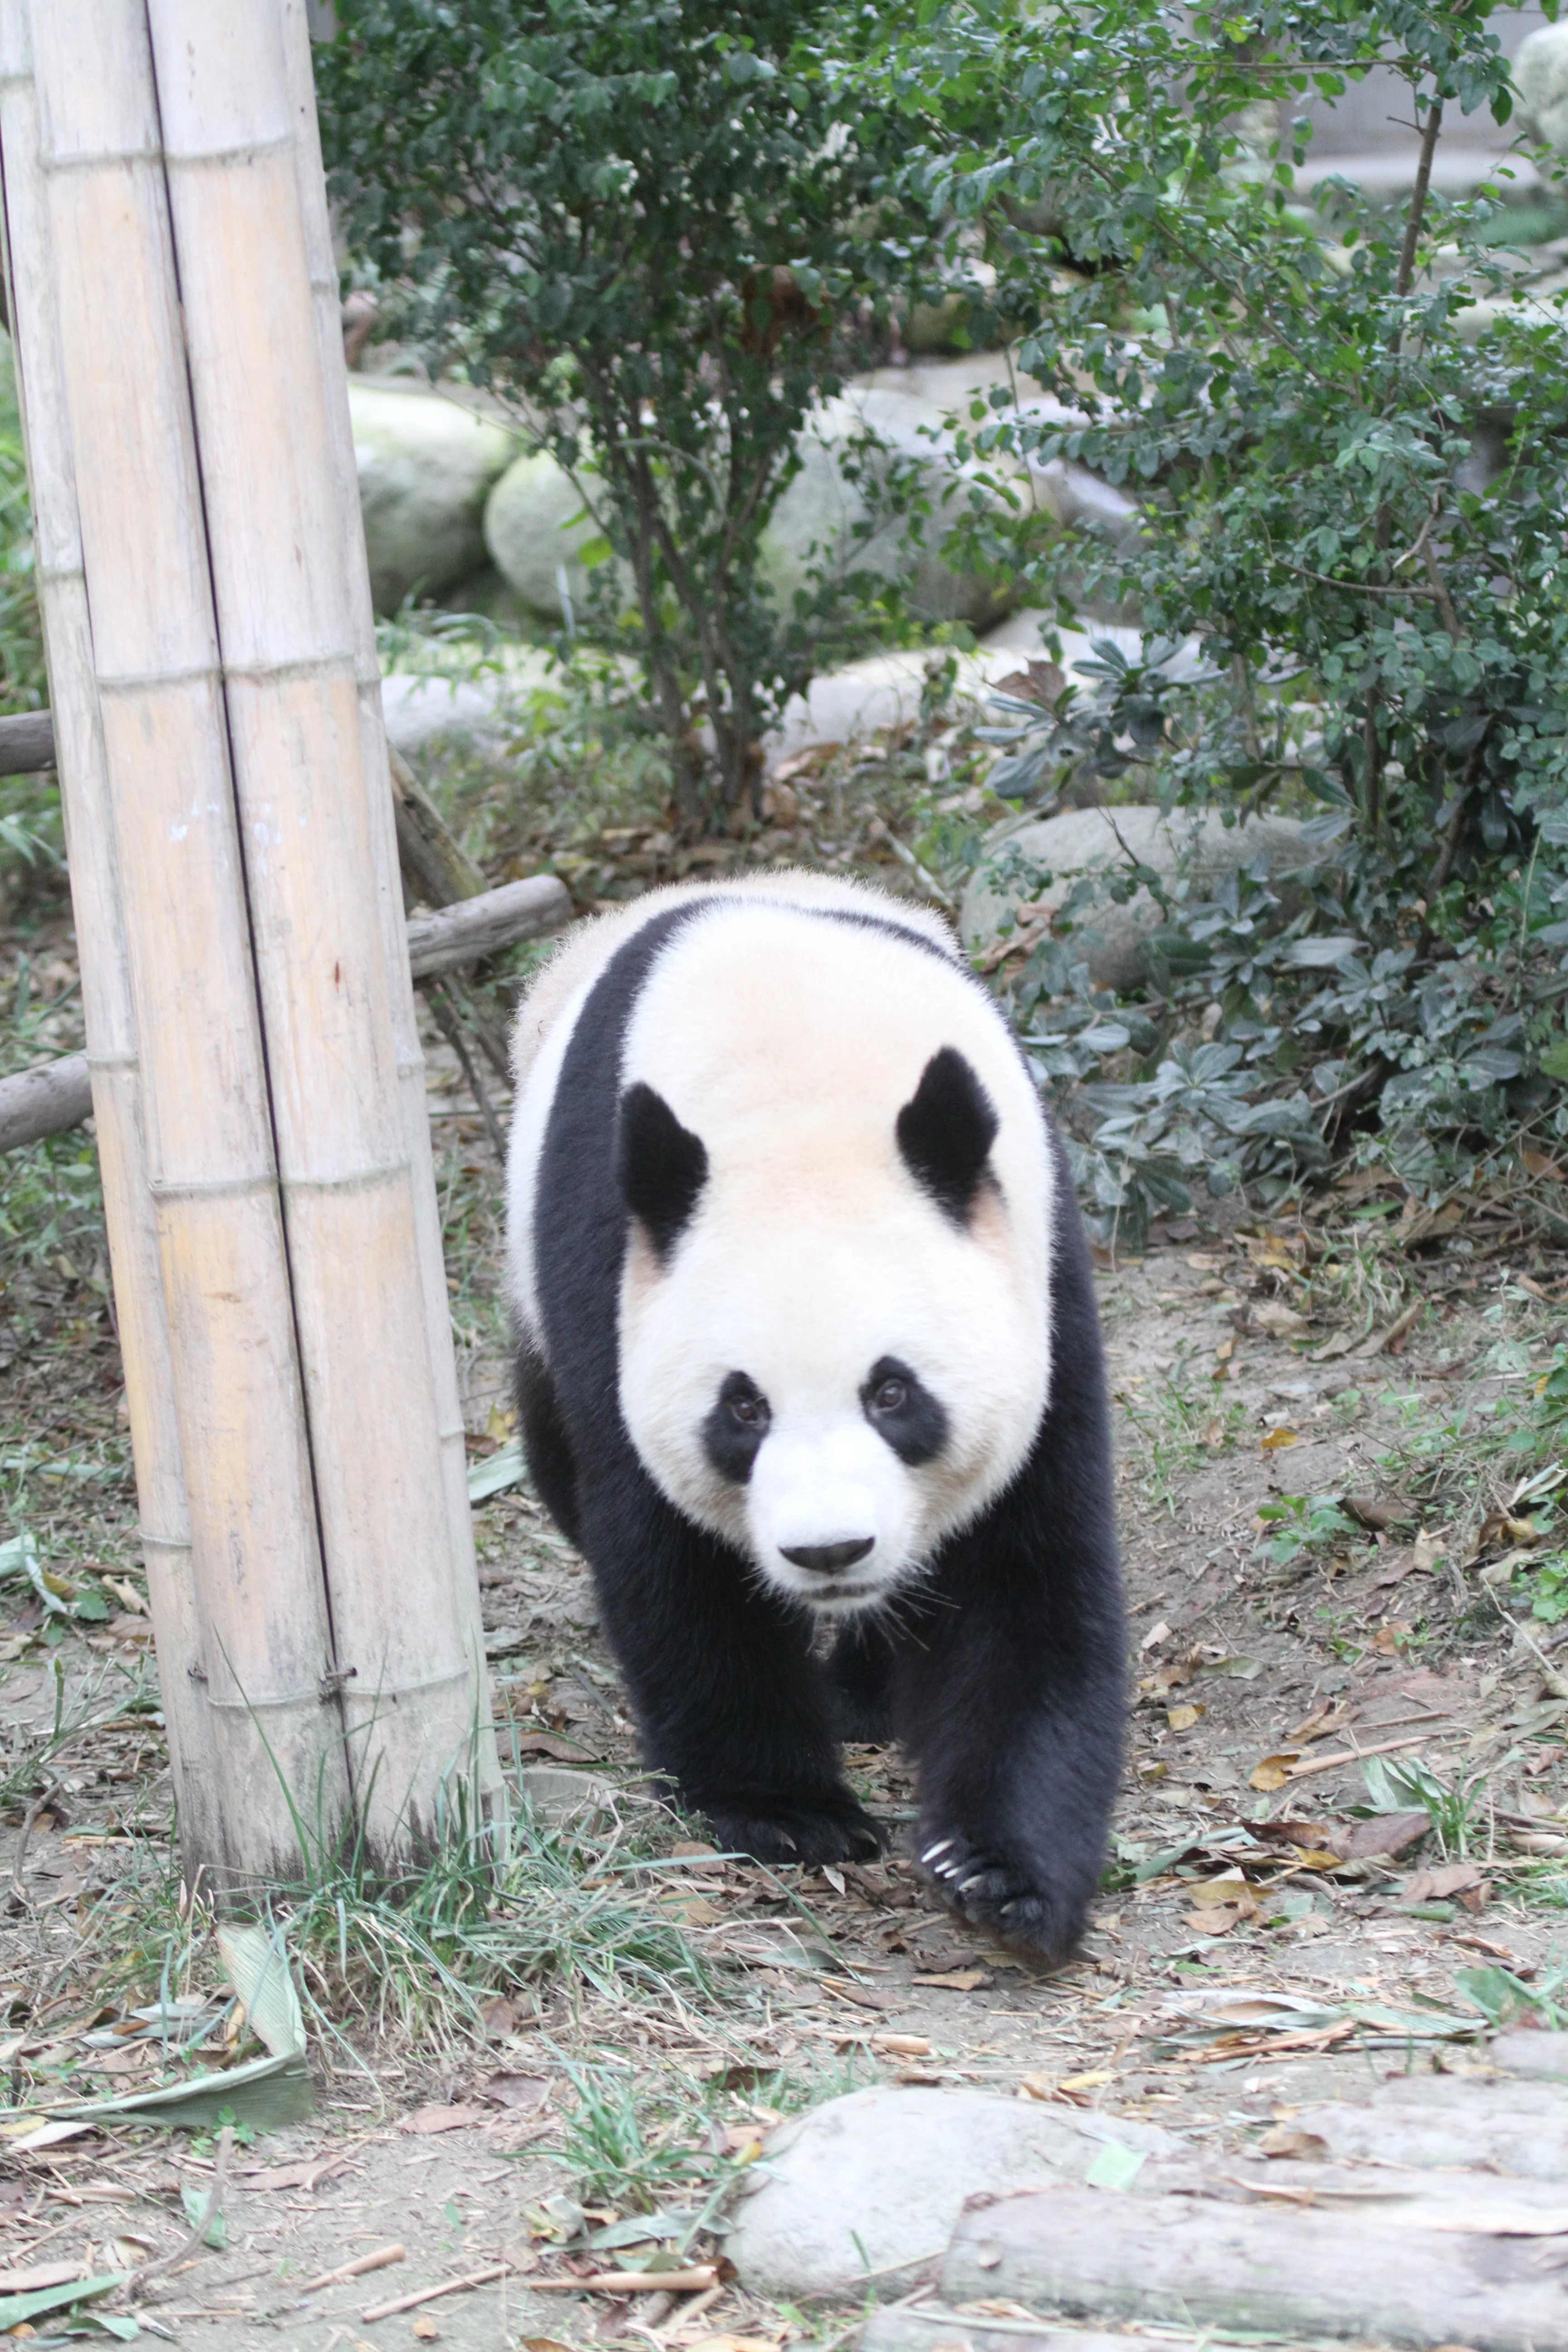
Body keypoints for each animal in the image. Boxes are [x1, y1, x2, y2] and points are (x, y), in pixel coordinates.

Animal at [505, 871, 1124, 1959]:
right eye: (742, 1408)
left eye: (893, 1393)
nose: (830, 1551)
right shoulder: (610, 1271)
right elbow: (675, 1561)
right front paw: (787, 1810)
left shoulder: (1039, 1267)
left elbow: (1024, 1571)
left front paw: (998, 1871)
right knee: (556, 1463)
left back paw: (865, 1693)